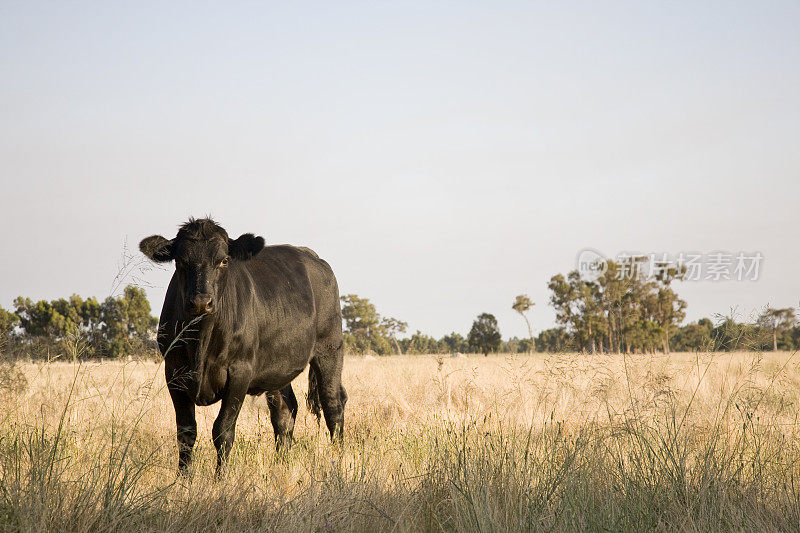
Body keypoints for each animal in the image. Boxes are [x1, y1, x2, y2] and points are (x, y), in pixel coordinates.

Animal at [141, 218, 346, 476]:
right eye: (181, 261)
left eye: (223, 260)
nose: (201, 302)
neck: (202, 341)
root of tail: (312, 256)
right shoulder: (174, 373)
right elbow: (186, 433)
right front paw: (183, 479)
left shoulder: (240, 372)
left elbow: (223, 431)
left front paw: (220, 479)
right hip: (277, 368)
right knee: (285, 412)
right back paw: (281, 467)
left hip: (329, 348)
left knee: (333, 405)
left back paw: (337, 463)